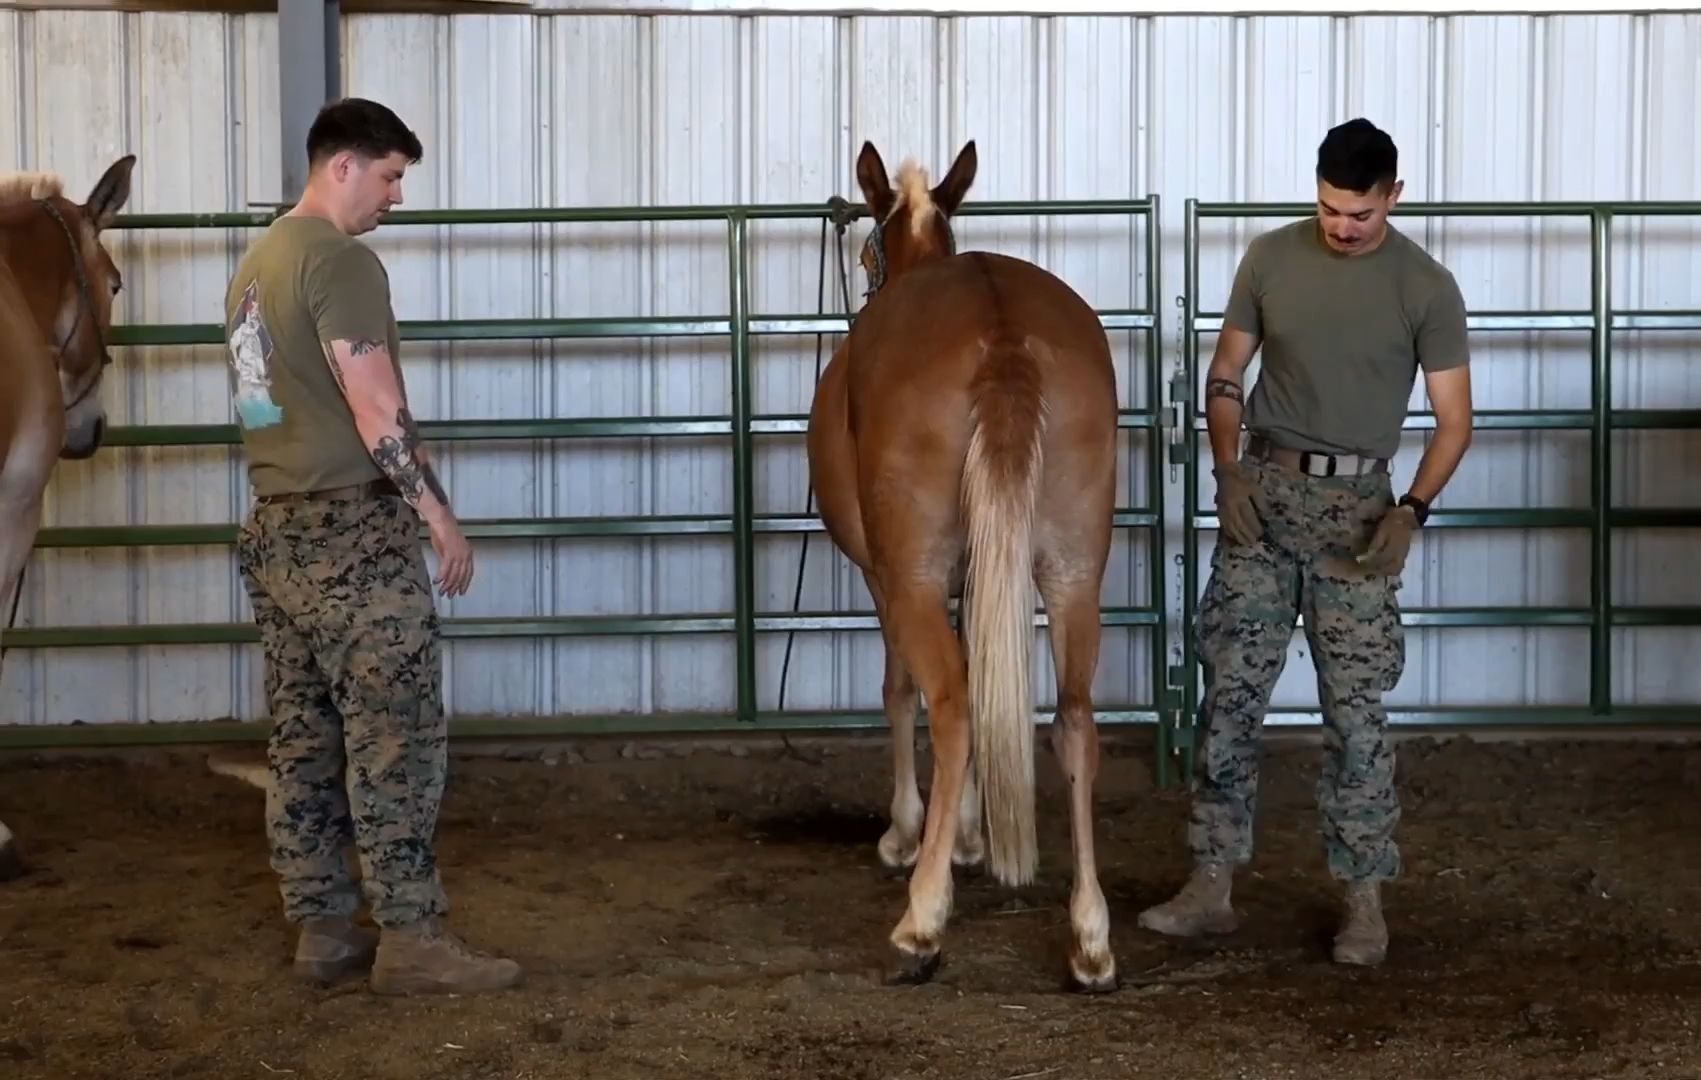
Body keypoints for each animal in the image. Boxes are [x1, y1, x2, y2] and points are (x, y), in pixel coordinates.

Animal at [806, 139, 1122, 993]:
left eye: (866, 251)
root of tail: (1000, 331)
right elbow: (990, 680)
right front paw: (975, 837)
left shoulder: (886, 576)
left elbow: (904, 690)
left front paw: (912, 836)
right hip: (1075, 570)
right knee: (1074, 719)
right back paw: (1090, 937)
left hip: (913, 572)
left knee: (948, 707)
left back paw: (920, 924)